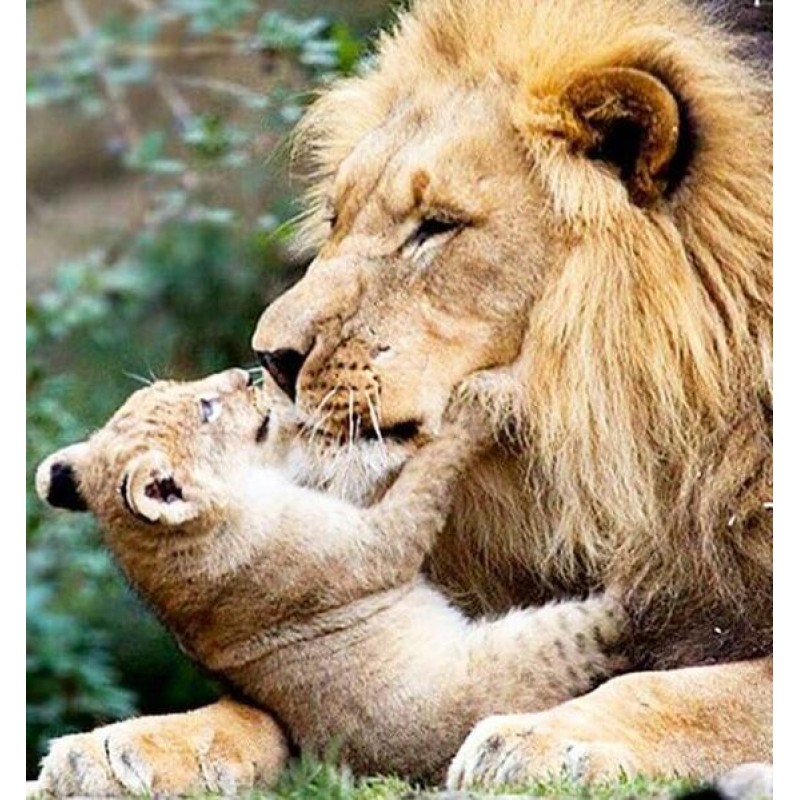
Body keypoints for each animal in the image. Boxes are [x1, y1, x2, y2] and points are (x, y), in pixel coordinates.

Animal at [35, 368, 629, 794]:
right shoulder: (372, 546)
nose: (243, 374)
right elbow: (425, 477)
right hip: (533, 646)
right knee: (611, 625)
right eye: (205, 409)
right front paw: (476, 405)